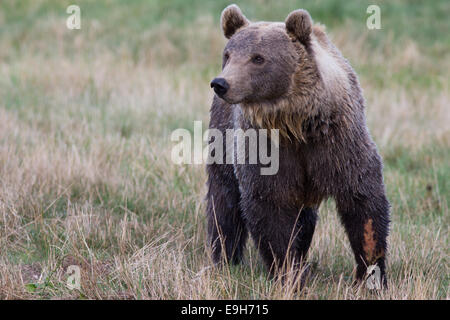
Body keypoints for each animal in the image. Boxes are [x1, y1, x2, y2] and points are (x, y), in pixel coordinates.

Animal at [206, 4, 388, 288]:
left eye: (258, 58)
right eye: (228, 54)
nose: (221, 83)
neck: (295, 124)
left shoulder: (338, 143)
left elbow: (362, 200)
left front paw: (371, 274)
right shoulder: (265, 148)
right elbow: (270, 206)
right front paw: (287, 272)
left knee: (304, 217)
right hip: (223, 136)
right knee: (223, 199)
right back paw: (225, 258)